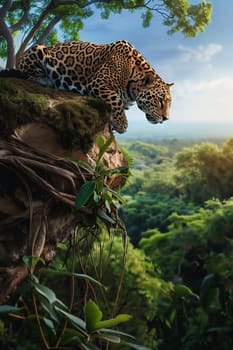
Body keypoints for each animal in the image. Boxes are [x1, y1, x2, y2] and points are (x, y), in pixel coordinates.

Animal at [3, 40, 173, 133]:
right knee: (27, 74)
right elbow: (115, 99)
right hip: (38, 50)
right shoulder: (98, 83)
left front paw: (115, 126)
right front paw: (122, 124)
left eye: (169, 104)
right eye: (160, 101)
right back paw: (45, 79)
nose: (166, 118)